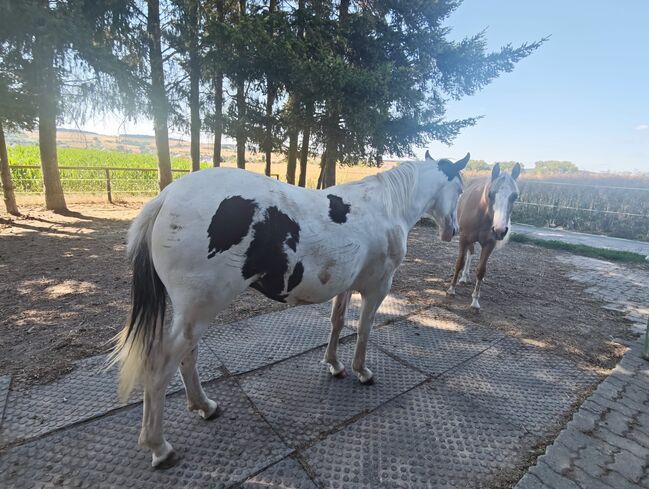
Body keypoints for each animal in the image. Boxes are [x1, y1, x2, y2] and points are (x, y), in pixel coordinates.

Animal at [109, 151, 469, 467]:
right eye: (461, 189)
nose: (453, 230)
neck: (386, 205)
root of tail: (165, 198)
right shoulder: (377, 289)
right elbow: (364, 330)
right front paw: (361, 371)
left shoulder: (346, 286)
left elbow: (337, 322)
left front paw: (334, 364)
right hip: (198, 310)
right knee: (160, 366)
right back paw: (159, 447)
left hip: (191, 313)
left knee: (187, 356)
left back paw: (205, 406)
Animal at [446, 162, 521, 309]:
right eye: (490, 194)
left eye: (515, 196)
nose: (499, 230)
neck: (481, 212)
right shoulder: (463, 238)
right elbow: (459, 262)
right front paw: (451, 289)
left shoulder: (489, 244)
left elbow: (481, 270)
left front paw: (475, 301)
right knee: (469, 253)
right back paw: (463, 277)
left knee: (471, 254)